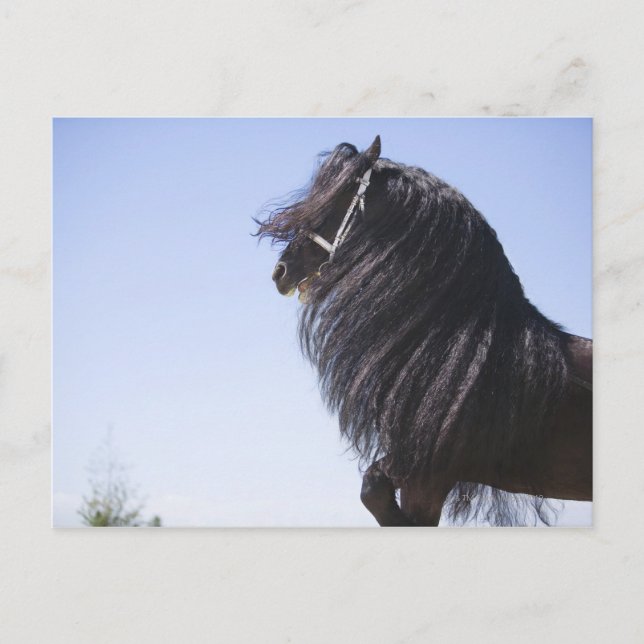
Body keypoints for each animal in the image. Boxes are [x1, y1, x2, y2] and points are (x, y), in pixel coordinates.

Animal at [257, 136, 592, 526]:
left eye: (337, 198)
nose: (280, 271)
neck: (465, 356)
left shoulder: (426, 477)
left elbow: (378, 495)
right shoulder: (411, 468)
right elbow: (374, 488)